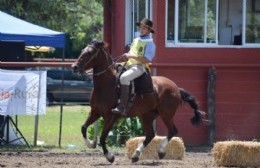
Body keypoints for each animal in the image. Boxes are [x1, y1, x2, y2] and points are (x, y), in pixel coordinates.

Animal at [71, 40, 207, 163]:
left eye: (90, 53)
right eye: (82, 51)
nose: (74, 67)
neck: (107, 84)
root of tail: (176, 88)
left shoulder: (111, 116)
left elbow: (103, 137)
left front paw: (110, 156)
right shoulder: (95, 112)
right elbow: (83, 128)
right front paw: (90, 144)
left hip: (166, 114)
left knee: (172, 130)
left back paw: (161, 151)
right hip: (147, 115)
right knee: (150, 135)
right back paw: (136, 155)